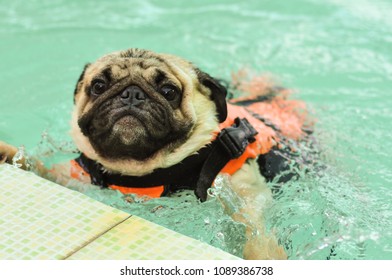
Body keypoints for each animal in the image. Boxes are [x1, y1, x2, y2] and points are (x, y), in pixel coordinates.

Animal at [0, 48, 310, 260]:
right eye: (98, 86)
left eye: (169, 91)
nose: (131, 94)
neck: (141, 172)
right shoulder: (75, 180)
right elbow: (41, 168)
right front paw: (9, 154)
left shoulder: (242, 190)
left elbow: (254, 228)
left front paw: (263, 254)